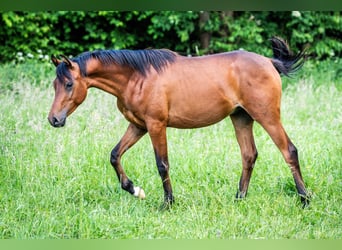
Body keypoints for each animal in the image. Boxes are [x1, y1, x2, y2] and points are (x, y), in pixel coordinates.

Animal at [47, 36, 310, 207]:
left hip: (267, 116)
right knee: (249, 155)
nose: (54, 119)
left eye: (68, 84)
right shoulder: (138, 125)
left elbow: (162, 164)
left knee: (289, 151)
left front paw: (168, 203)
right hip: (241, 118)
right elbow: (115, 155)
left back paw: (305, 199)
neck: (137, 76)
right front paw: (134, 189)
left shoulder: (156, 125)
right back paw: (239, 198)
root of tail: (269, 62)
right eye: (54, 84)